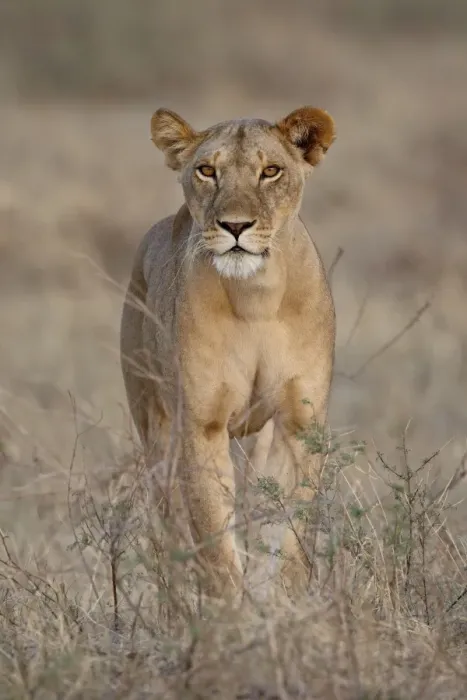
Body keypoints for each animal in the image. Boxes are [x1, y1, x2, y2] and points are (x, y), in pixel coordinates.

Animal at [120, 106, 336, 600]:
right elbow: (215, 543)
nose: (235, 227)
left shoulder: (299, 424)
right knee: (170, 533)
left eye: (270, 171)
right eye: (207, 171)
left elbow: (289, 537)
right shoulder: (201, 424)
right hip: (155, 429)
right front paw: (231, 614)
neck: (256, 296)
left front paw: (286, 605)